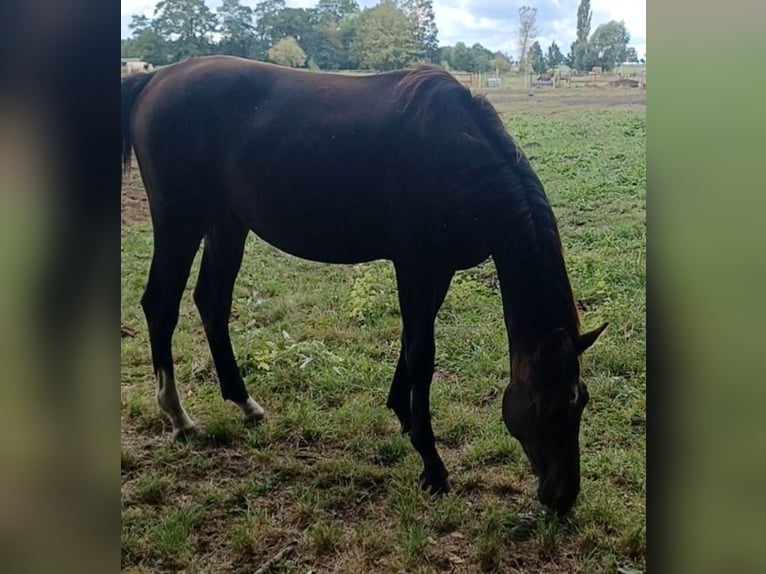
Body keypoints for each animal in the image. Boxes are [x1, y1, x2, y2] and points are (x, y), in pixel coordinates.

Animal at [121, 57, 612, 516]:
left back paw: (244, 403)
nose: (563, 497)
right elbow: (421, 354)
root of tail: (157, 78)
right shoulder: (415, 266)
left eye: (581, 402)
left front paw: (402, 413)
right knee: (161, 305)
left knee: (213, 302)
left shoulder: (438, 270)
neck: (454, 154)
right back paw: (179, 417)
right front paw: (432, 463)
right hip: (180, 219)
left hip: (226, 222)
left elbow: (411, 344)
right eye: (544, 406)